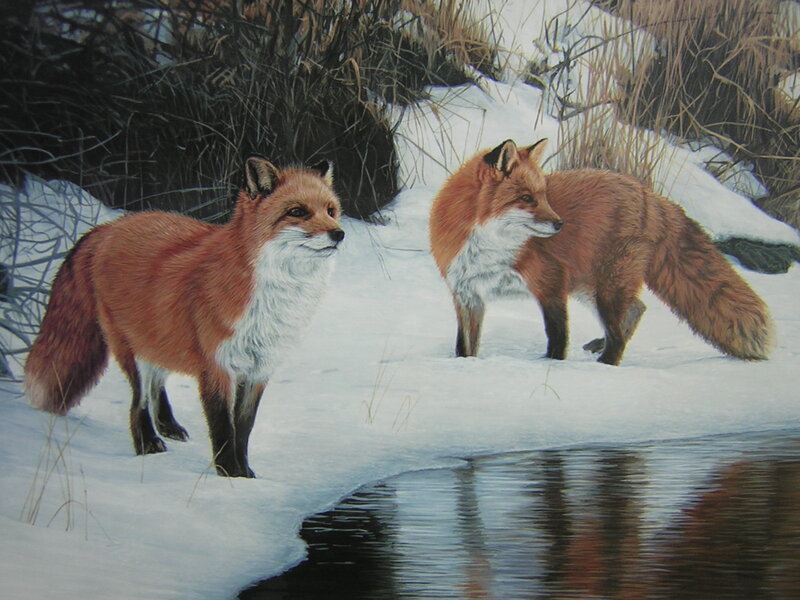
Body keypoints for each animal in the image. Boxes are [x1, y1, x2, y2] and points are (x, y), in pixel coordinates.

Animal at [24, 157, 345, 477]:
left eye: (331, 211)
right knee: (138, 402)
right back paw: (147, 443)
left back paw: (167, 425)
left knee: (156, 386)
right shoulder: (217, 366)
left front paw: (246, 474)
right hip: (133, 349)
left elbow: (243, 428)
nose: (339, 234)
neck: (272, 302)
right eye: (298, 212)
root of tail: (109, 227)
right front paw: (229, 473)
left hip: (160, 339)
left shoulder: (258, 370)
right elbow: (223, 427)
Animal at [429, 138, 774, 366]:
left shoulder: (550, 284)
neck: (488, 249)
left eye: (544, 195)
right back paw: (600, 347)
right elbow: (465, 346)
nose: (559, 224)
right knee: (637, 309)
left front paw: (551, 368)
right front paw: (464, 369)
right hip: (590, 287)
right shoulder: (467, 295)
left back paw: (605, 366)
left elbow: (557, 338)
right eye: (526, 198)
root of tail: (649, 195)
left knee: (622, 331)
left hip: (605, 288)